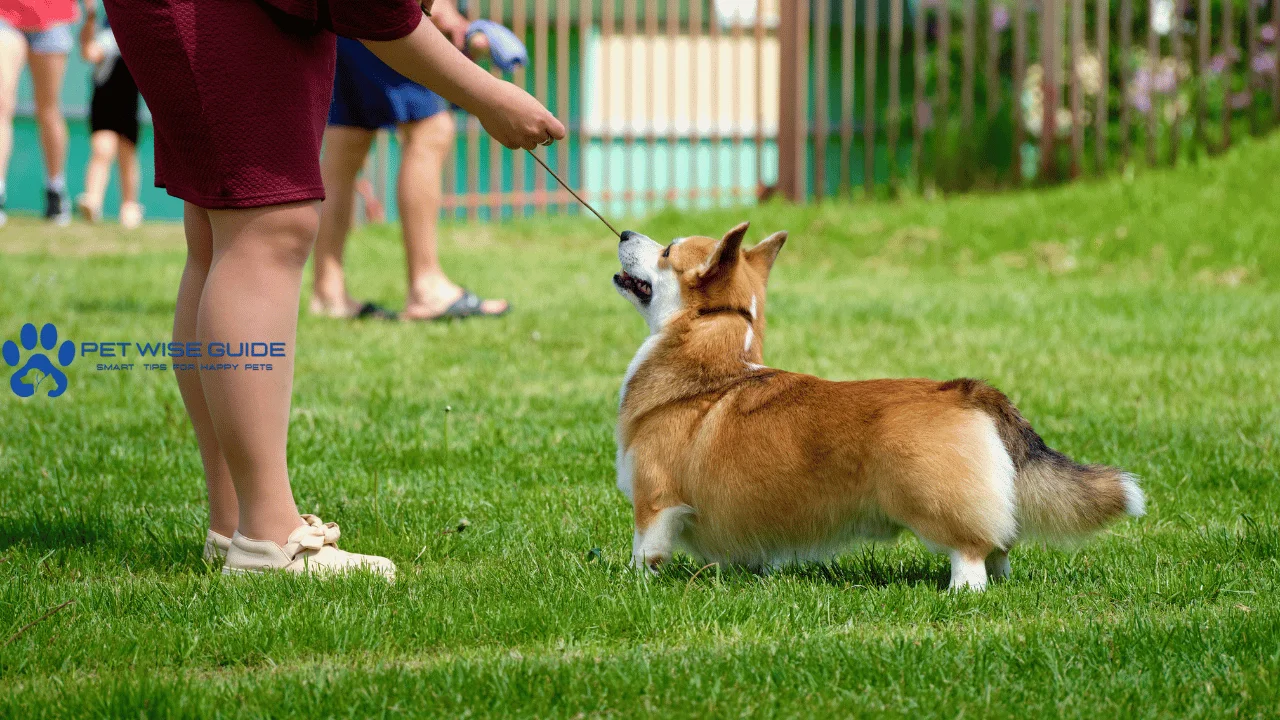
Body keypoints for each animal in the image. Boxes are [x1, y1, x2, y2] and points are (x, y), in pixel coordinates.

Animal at [609, 221, 1141, 586]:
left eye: (668, 251)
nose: (625, 231)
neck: (713, 360)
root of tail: (967, 389)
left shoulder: (655, 498)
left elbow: (645, 548)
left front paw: (633, 583)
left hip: (931, 501)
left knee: (971, 552)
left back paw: (959, 592)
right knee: (1001, 550)